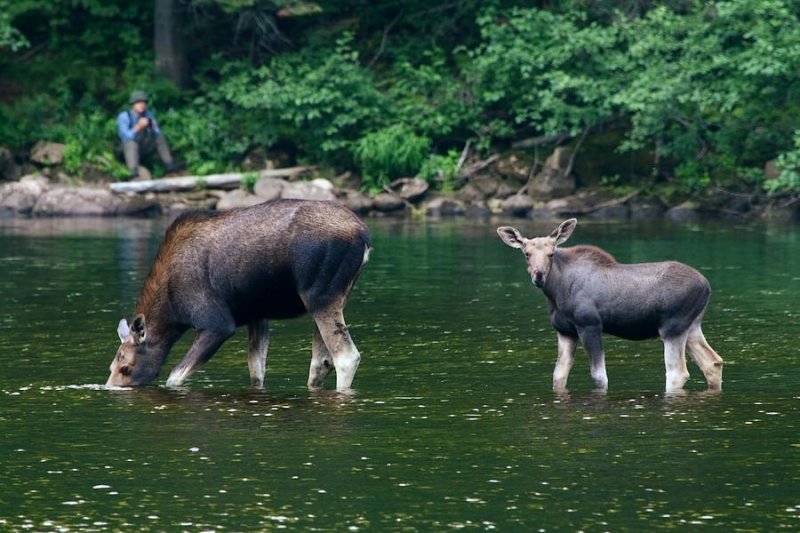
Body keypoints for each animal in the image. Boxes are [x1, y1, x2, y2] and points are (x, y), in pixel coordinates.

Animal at [106, 197, 372, 388]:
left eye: (126, 367)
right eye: (110, 368)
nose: (110, 388)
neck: (172, 313)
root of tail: (364, 236)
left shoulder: (217, 323)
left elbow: (174, 376)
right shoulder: (257, 315)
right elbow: (256, 370)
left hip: (320, 297)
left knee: (346, 357)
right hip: (333, 298)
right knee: (321, 362)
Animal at [496, 218, 720, 392]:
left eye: (551, 253)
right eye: (526, 254)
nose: (539, 276)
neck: (555, 292)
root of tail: (707, 286)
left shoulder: (590, 325)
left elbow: (599, 376)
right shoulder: (565, 331)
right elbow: (558, 376)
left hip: (672, 327)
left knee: (677, 372)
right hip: (692, 326)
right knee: (713, 362)